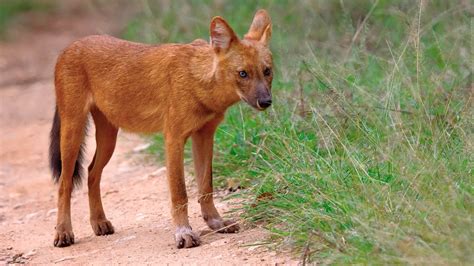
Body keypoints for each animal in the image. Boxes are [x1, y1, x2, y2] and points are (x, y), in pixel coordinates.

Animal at [48, 9, 274, 248]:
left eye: (267, 71)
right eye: (243, 73)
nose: (266, 101)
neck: (199, 82)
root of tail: (69, 46)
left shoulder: (204, 135)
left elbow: (206, 186)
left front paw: (216, 223)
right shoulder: (174, 138)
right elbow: (179, 192)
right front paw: (184, 233)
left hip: (109, 138)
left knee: (92, 173)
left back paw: (99, 223)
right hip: (73, 130)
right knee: (64, 183)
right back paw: (63, 232)